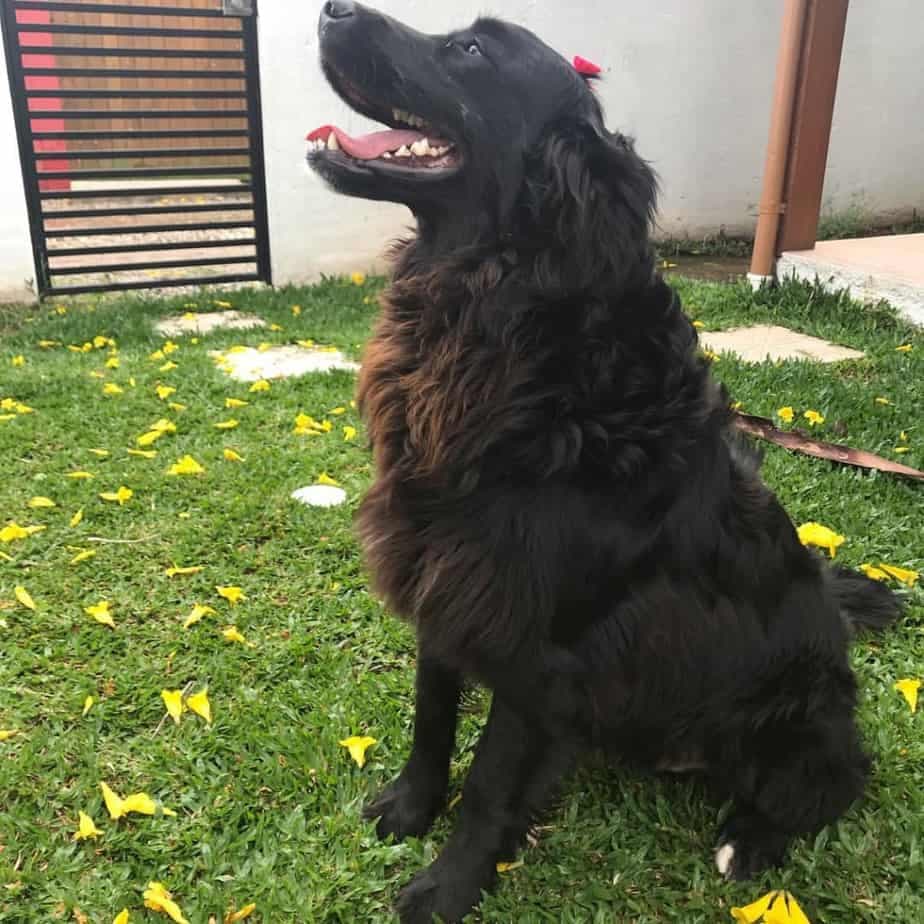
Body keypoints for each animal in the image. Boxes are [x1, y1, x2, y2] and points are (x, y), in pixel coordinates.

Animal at [306, 3, 900, 920]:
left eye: (468, 49)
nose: (331, 10)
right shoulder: (445, 584)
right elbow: (430, 720)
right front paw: (408, 810)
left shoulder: (534, 640)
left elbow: (488, 783)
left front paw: (449, 884)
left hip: (797, 715)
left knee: (832, 781)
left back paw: (749, 843)